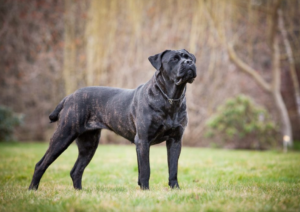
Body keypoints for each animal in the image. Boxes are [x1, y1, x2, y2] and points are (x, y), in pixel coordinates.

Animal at [28, 49, 197, 190]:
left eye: (188, 57)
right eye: (174, 59)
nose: (189, 63)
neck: (171, 98)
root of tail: (69, 97)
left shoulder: (175, 140)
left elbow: (173, 168)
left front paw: (175, 190)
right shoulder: (143, 140)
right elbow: (145, 169)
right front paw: (146, 190)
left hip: (89, 144)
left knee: (76, 170)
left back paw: (79, 192)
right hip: (64, 135)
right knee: (41, 164)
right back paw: (32, 190)